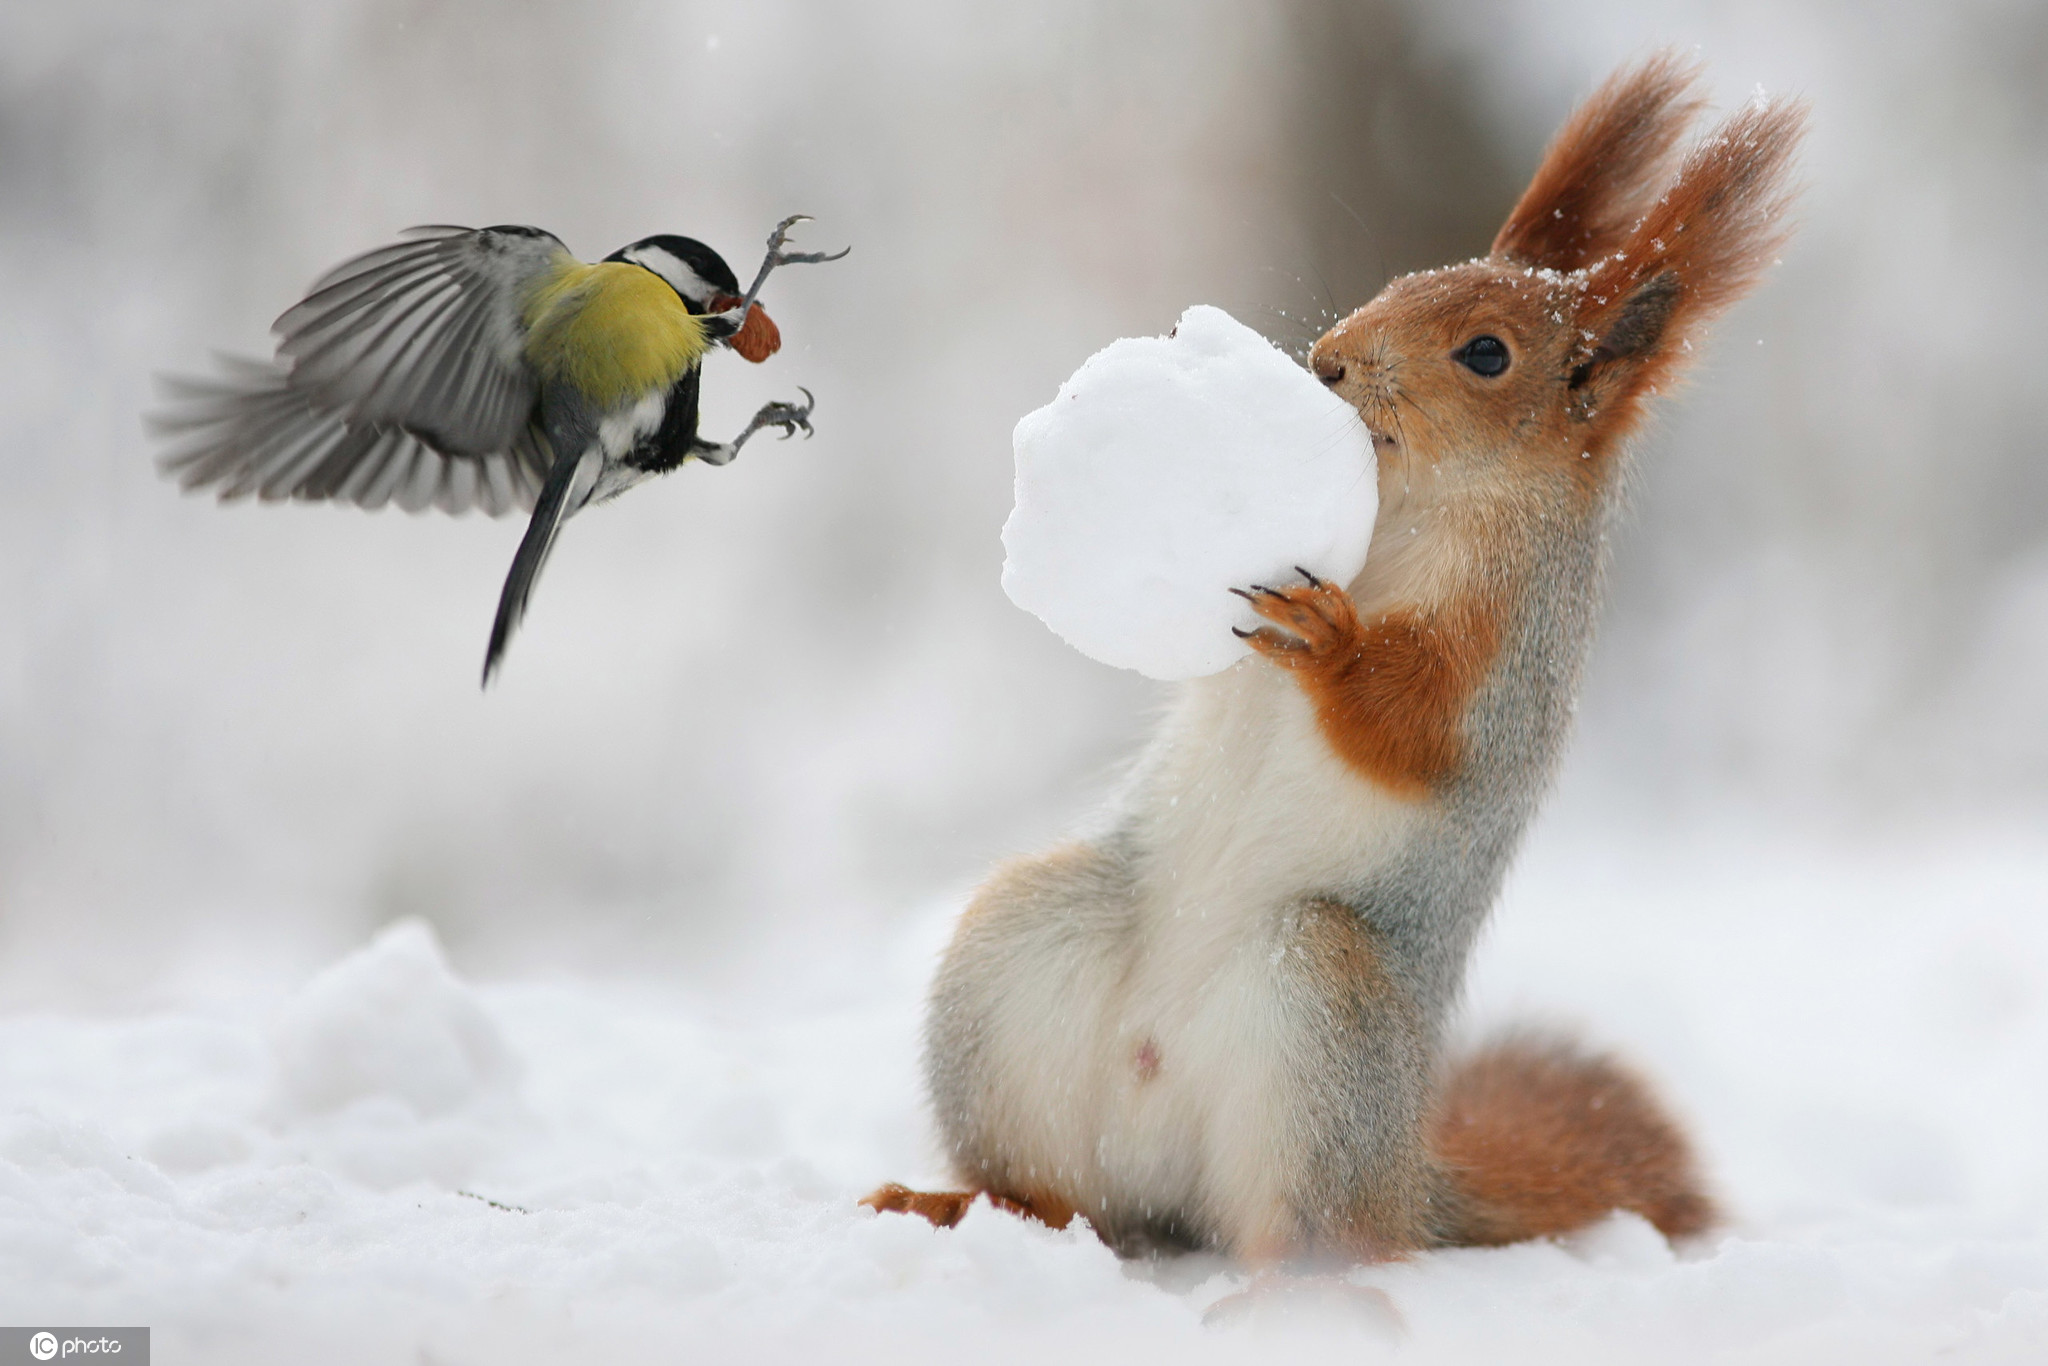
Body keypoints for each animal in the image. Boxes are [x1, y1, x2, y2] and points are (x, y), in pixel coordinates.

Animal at [872, 61, 1802, 1261]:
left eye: (1487, 353)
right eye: (1402, 280)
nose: (1326, 362)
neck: (1415, 509)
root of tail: (1409, 1174)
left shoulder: (1511, 654)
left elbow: (1419, 726)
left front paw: (1333, 641)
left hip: (1320, 1012)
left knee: (1319, 1232)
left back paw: (1289, 1281)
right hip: (1021, 952)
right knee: (1064, 1196)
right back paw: (961, 1204)